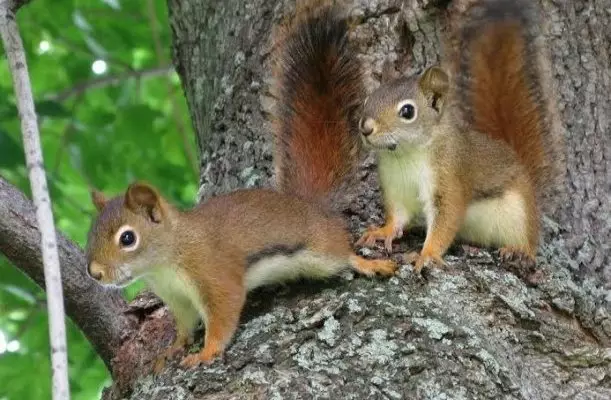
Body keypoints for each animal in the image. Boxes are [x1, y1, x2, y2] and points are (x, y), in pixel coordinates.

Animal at [87, 3, 402, 372]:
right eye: (91, 232)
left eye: (127, 238)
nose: (94, 273)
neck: (167, 260)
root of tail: (310, 205)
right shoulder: (178, 299)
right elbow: (183, 327)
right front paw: (172, 349)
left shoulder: (213, 275)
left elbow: (222, 316)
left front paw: (205, 353)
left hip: (321, 251)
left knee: (343, 255)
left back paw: (368, 263)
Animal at [358, 0, 564, 274]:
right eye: (368, 99)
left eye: (407, 111)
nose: (365, 128)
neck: (406, 156)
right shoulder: (397, 187)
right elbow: (398, 216)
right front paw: (383, 231)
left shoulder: (449, 178)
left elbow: (446, 219)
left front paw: (427, 255)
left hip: (519, 213)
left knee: (529, 241)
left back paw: (518, 252)